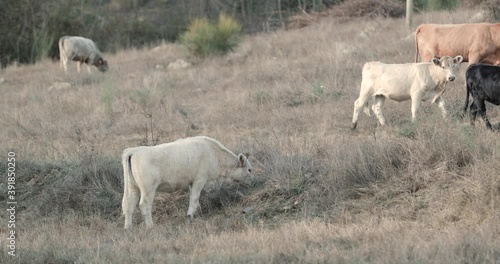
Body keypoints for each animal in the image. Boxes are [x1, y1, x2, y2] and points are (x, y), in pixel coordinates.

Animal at [121, 136, 254, 229]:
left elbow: (194, 199)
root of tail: (134, 151)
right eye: (249, 169)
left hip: (132, 187)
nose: (252, 182)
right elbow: (194, 198)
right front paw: (189, 216)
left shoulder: (191, 183)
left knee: (128, 204)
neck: (213, 154)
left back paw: (128, 227)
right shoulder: (199, 180)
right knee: (144, 205)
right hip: (148, 189)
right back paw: (150, 226)